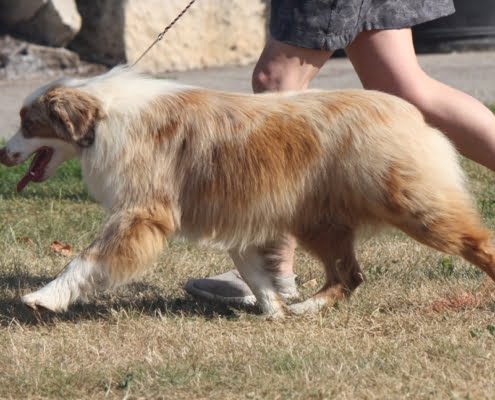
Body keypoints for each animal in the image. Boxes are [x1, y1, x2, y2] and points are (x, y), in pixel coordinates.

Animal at [0, 66, 495, 316]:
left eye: (29, 124)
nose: (2, 154)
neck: (103, 117)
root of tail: (410, 112)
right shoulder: (237, 218)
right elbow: (256, 273)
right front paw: (274, 311)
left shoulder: (142, 211)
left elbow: (86, 259)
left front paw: (44, 298)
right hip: (319, 221)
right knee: (349, 275)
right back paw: (306, 310)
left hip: (410, 205)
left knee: (477, 241)